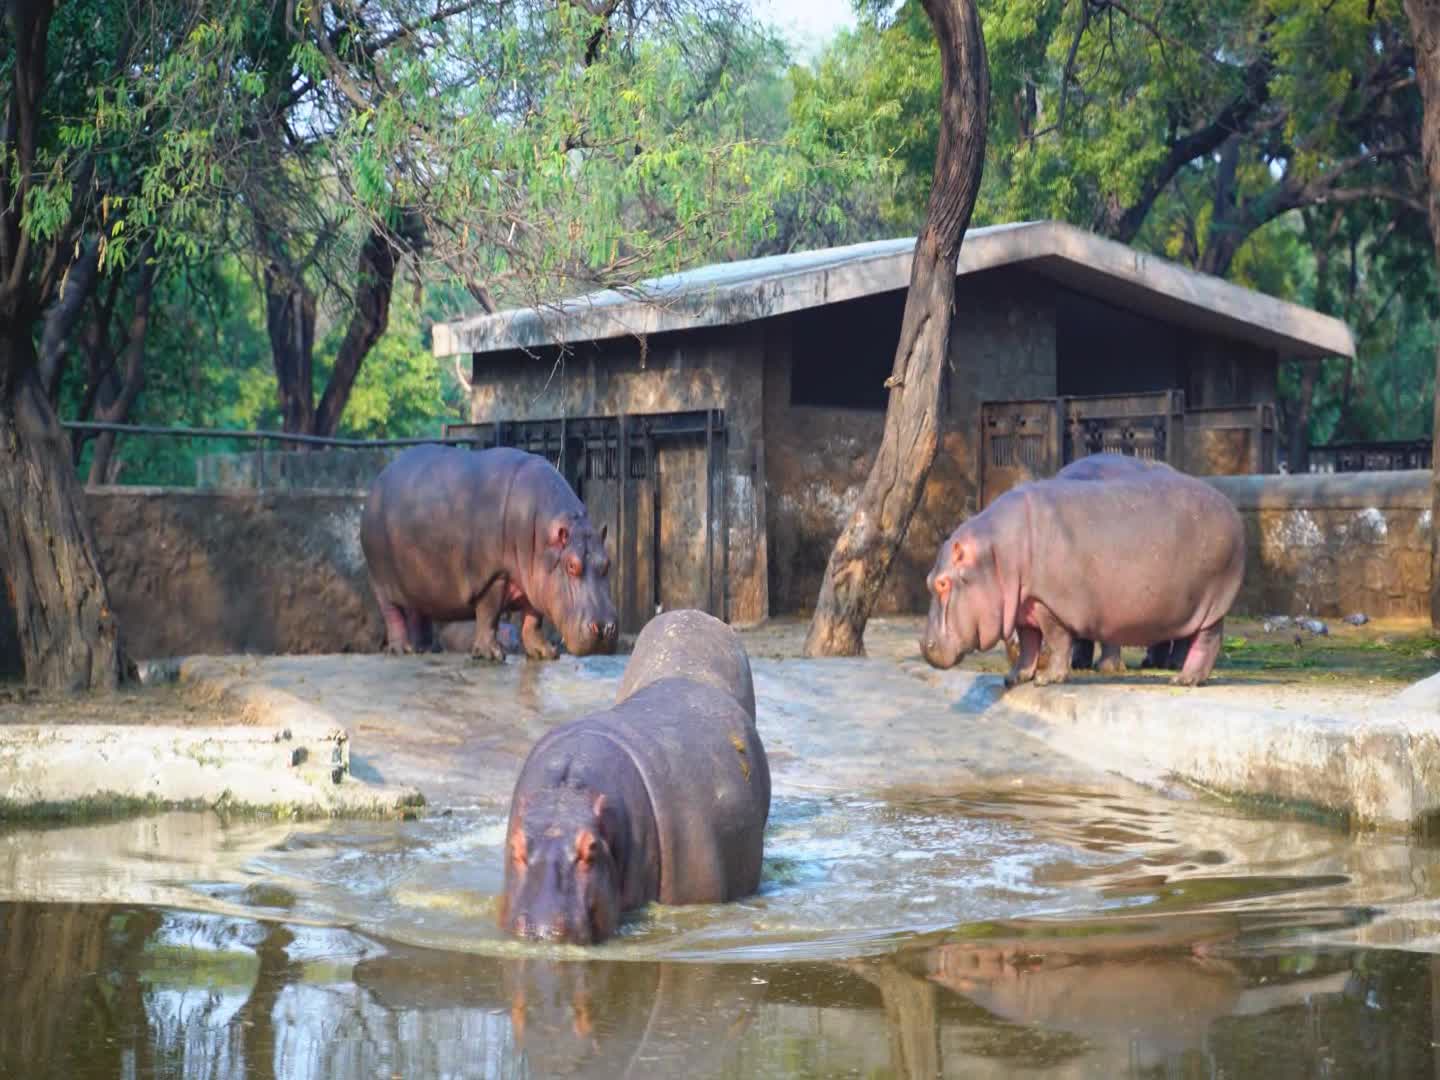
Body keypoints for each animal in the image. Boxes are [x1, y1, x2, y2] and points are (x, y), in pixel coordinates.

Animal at [360, 445, 618, 660]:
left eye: (607, 563)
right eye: (572, 565)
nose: (605, 628)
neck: (544, 534)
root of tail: (377, 482)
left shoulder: (535, 582)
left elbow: (533, 619)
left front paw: (545, 653)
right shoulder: (493, 576)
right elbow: (489, 614)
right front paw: (491, 655)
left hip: (417, 581)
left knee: (417, 612)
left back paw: (422, 649)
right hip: (381, 579)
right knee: (392, 613)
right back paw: (401, 650)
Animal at [922, 462, 1244, 687]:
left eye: (942, 583)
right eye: (928, 580)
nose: (924, 646)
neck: (996, 553)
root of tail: (1231, 507)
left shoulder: (1048, 604)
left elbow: (1056, 641)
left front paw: (1047, 679)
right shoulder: (1023, 606)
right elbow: (1028, 644)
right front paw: (1015, 677)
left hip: (1213, 604)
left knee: (1206, 641)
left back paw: (1184, 679)